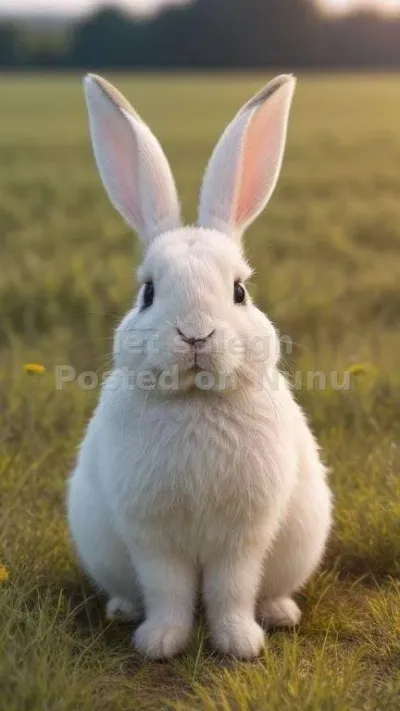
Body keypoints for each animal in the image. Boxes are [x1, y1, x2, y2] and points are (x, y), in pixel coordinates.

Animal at [67, 73, 332, 661]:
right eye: (147, 292)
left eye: (239, 291)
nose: (195, 333)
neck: (194, 398)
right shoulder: (152, 536)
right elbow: (167, 590)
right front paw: (161, 642)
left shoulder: (243, 536)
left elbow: (232, 589)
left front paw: (239, 643)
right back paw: (123, 610)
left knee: (266, 590)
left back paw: (280, 613)